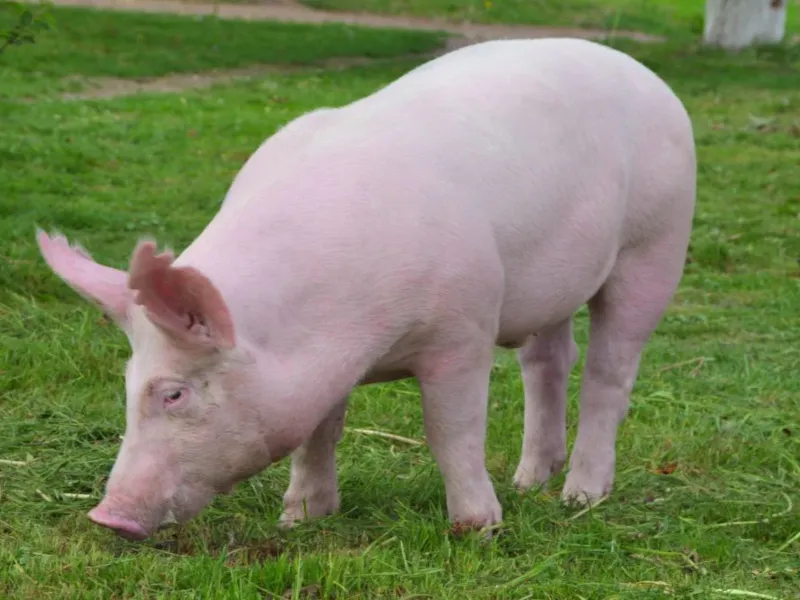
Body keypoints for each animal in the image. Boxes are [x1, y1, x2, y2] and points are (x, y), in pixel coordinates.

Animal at [36, 37, 696, 541]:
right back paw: (530, 481)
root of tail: (642, 73)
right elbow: (318, 432)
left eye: (174, 393)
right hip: (549, 287)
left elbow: (451, 429)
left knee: (609, 372)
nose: (107, 516)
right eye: (126, 384)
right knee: (550, 360)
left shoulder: (464, 328)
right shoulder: (324, 368)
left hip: (657, 242)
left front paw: (477, 529)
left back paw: (579, 498)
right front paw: (299, 520)